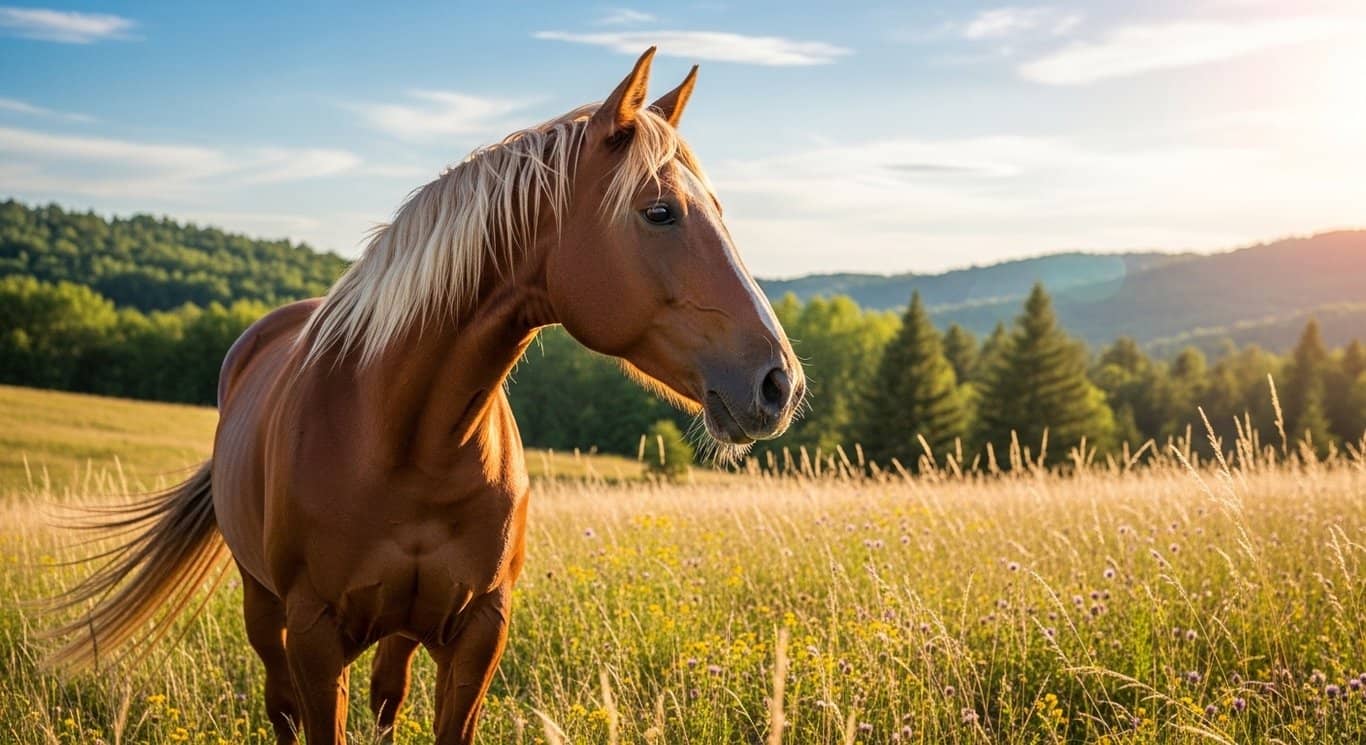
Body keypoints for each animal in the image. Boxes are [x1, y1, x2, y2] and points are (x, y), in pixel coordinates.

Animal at [41, 48, 804, 744]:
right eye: (659, 212)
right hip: (264, 608)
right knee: (280, 707)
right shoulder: (314, 634)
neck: (406, 440)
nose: (780, 382)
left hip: (400, 629)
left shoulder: (479, 630)